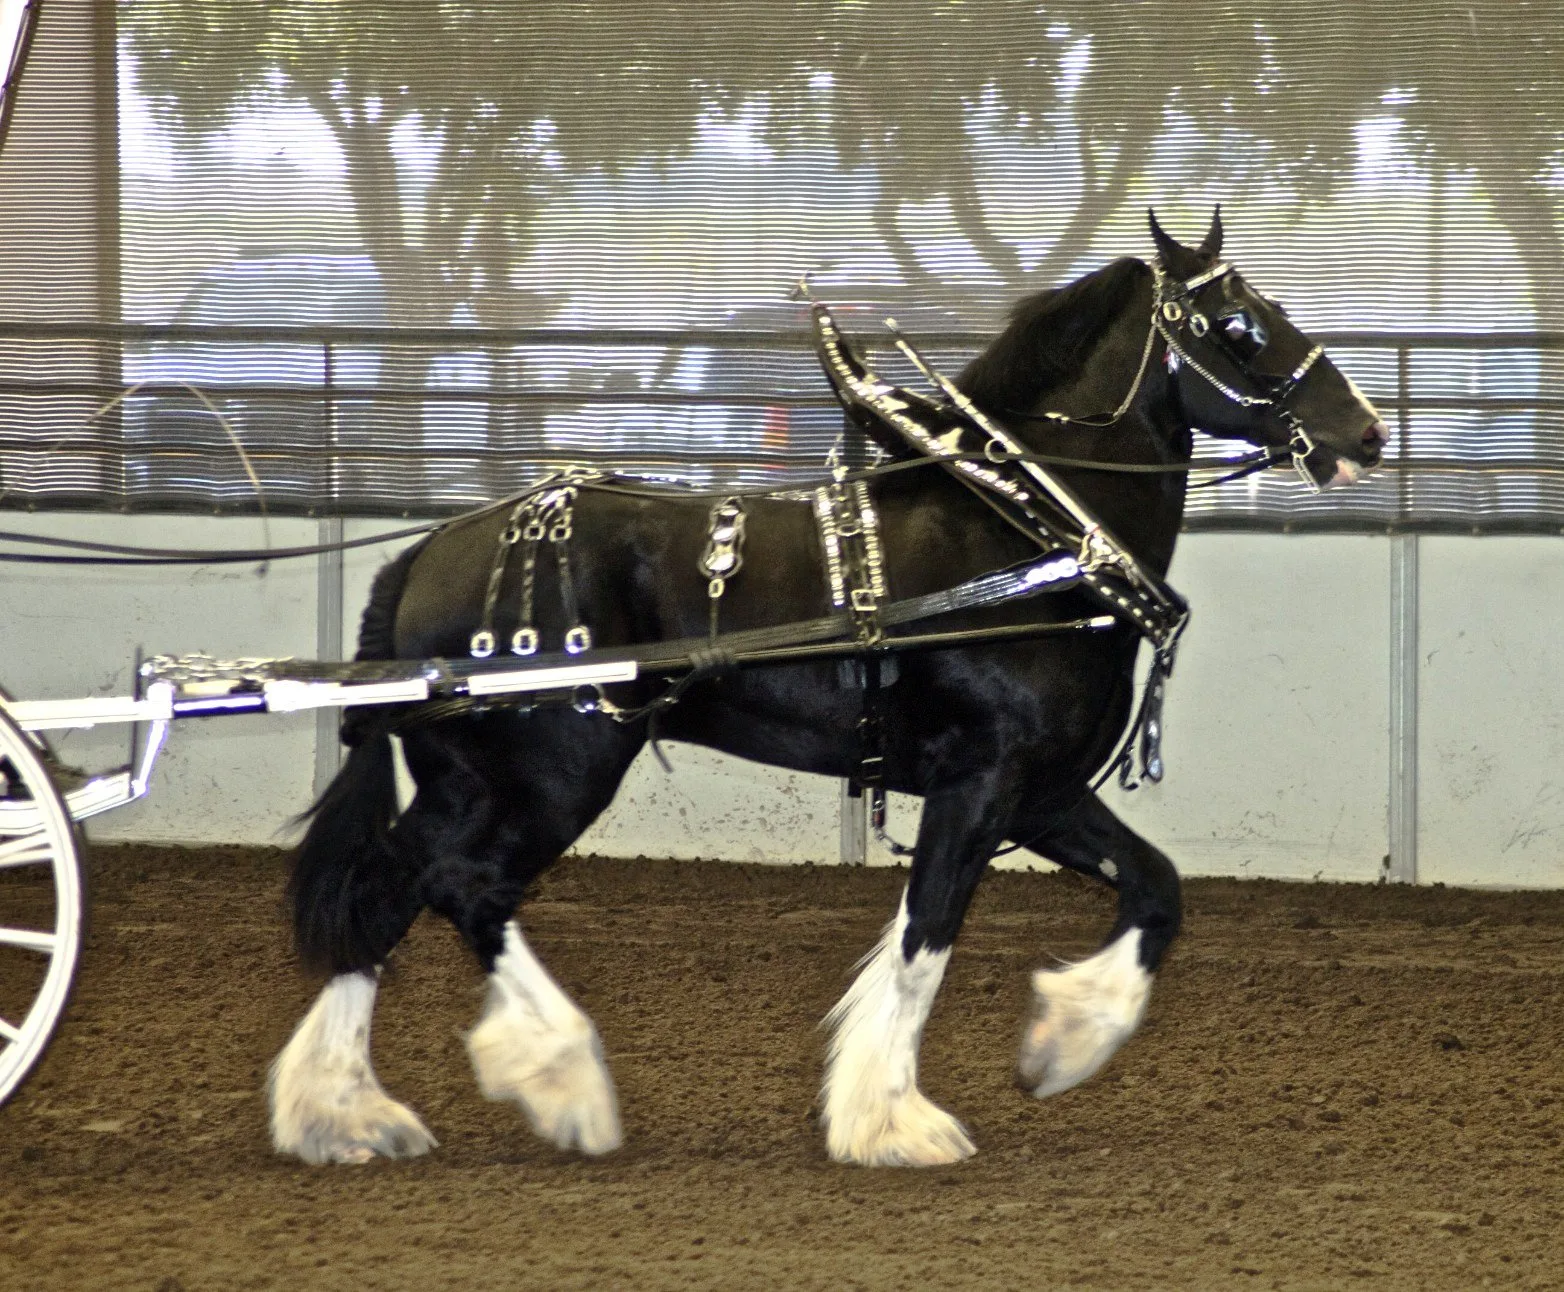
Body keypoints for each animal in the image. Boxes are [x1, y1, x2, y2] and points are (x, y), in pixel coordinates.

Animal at [268, 209, 1387, 1168]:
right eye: (1237, 324)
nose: (1366, 431)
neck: (1023, 534)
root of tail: (425, 555)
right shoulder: (981, 784)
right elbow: (927, 931)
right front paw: (890, 1118)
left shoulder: (1040, 790)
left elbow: (1155, 886)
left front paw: (1063, 1041)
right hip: (552, 775)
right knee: (465, 886)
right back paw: (559, 1078)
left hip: (469, 779)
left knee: (385, 890)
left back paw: (343, 1113)